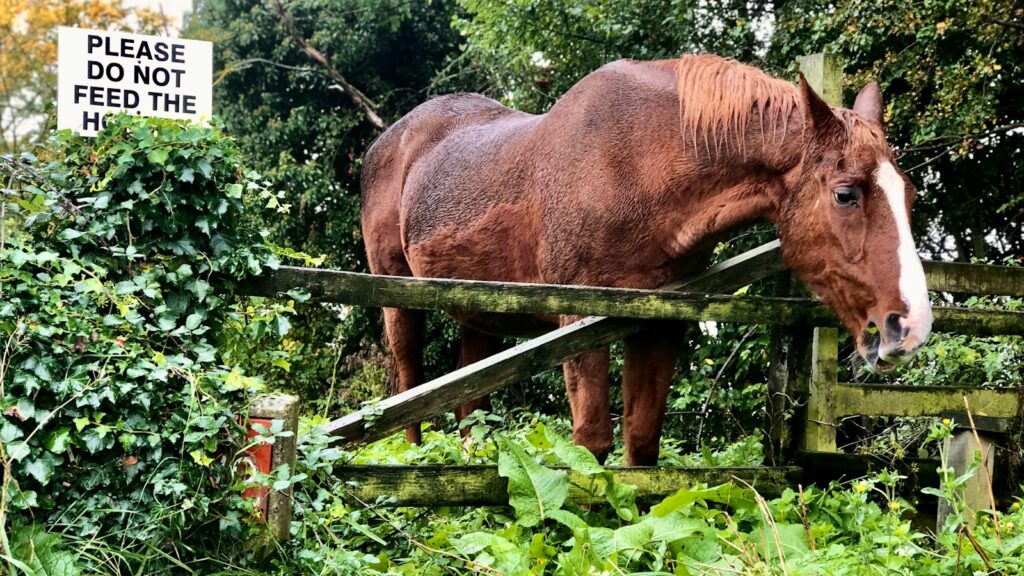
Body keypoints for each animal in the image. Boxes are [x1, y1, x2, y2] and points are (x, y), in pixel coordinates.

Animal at [360, 54, 932, 466]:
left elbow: (641, 443)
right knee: (408, 393)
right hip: (397, 297)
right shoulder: (579, 323)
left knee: (467, 407)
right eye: (845, 193)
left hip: (481, 312)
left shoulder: (658, 325)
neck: (635, 168)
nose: (911, 325)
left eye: (909, 194)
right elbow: (591, 443)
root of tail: (386, 142)